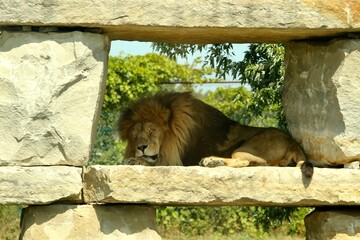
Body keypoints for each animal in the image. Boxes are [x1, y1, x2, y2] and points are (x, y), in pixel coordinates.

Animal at [117, 91, 312, 177]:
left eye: (151, 131)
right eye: (134, 135)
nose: (141, 147)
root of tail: (293, 141)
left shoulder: (177, 161)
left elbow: (153, 162)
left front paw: (134, 160)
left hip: (247, 148)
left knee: (242, 161)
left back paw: (210, 160)